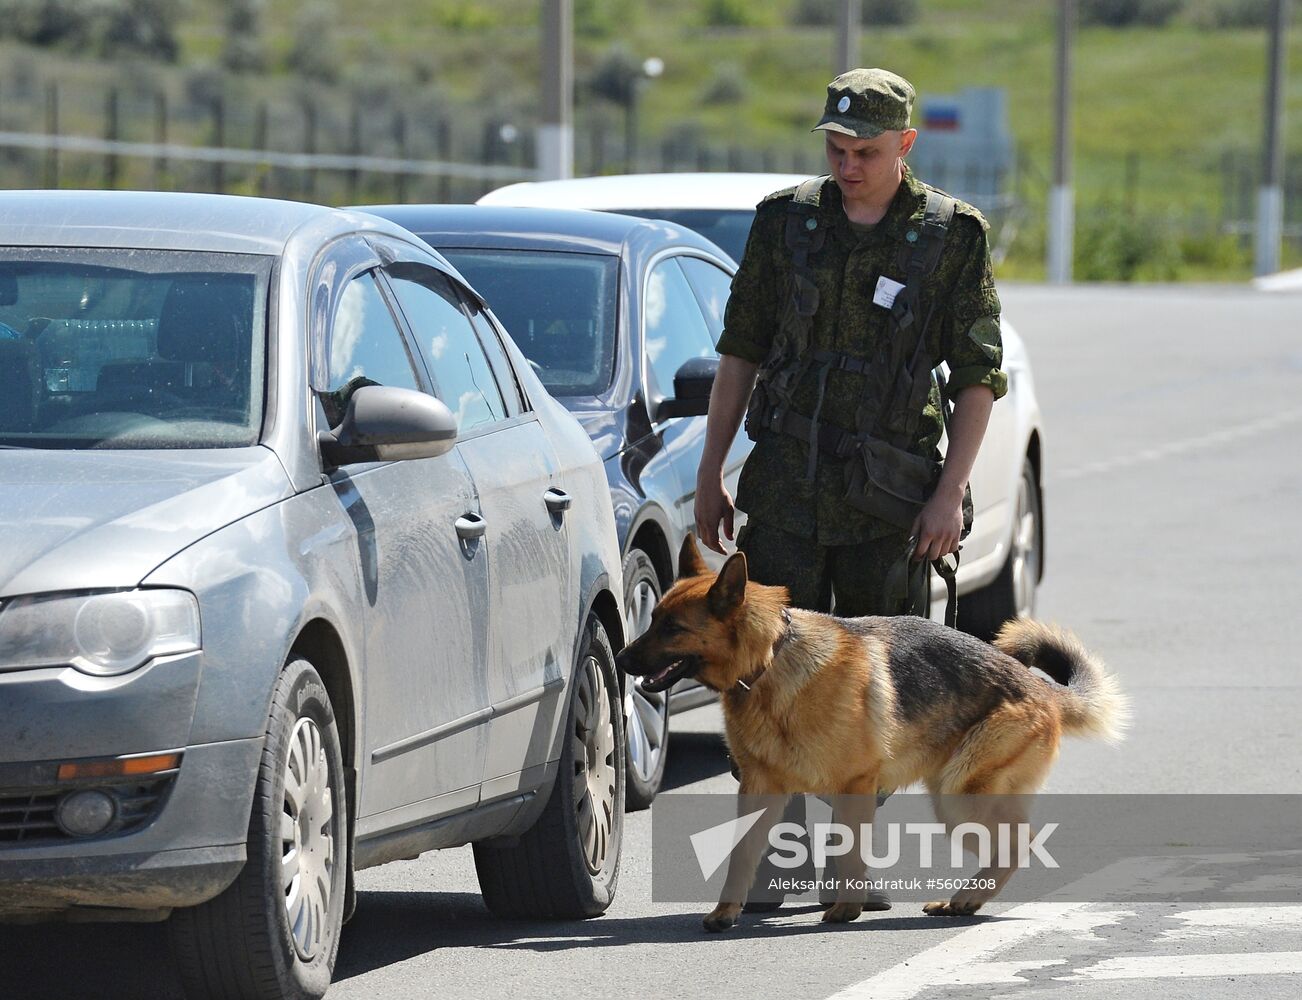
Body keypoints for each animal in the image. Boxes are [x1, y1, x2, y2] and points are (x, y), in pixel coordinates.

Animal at [614, 536, 1124, 932]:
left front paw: (847, 907)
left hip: (958, 797)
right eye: (653, 618)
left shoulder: (855, 785)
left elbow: (848, 848)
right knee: (1014, 842)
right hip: (955, 797)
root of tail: (1042, 688)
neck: (770, 662)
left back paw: (965, 899)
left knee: (1021, 842)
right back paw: (963, 901)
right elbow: (743, 853)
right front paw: (727, 911)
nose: (619, 659)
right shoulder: (760, 789)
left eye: (672, 627)